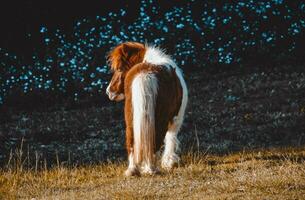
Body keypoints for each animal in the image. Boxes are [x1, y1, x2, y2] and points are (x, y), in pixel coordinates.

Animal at [106, 41, 188, 175]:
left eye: (119, 69)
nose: (109, 92)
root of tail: (146, 74)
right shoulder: (176, 120)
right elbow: (171, 139)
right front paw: (169, 162)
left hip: (131, 118)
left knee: (132, 142)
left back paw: (133, 170)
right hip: (161, 120)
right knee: (155, 142)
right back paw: (150, 169)